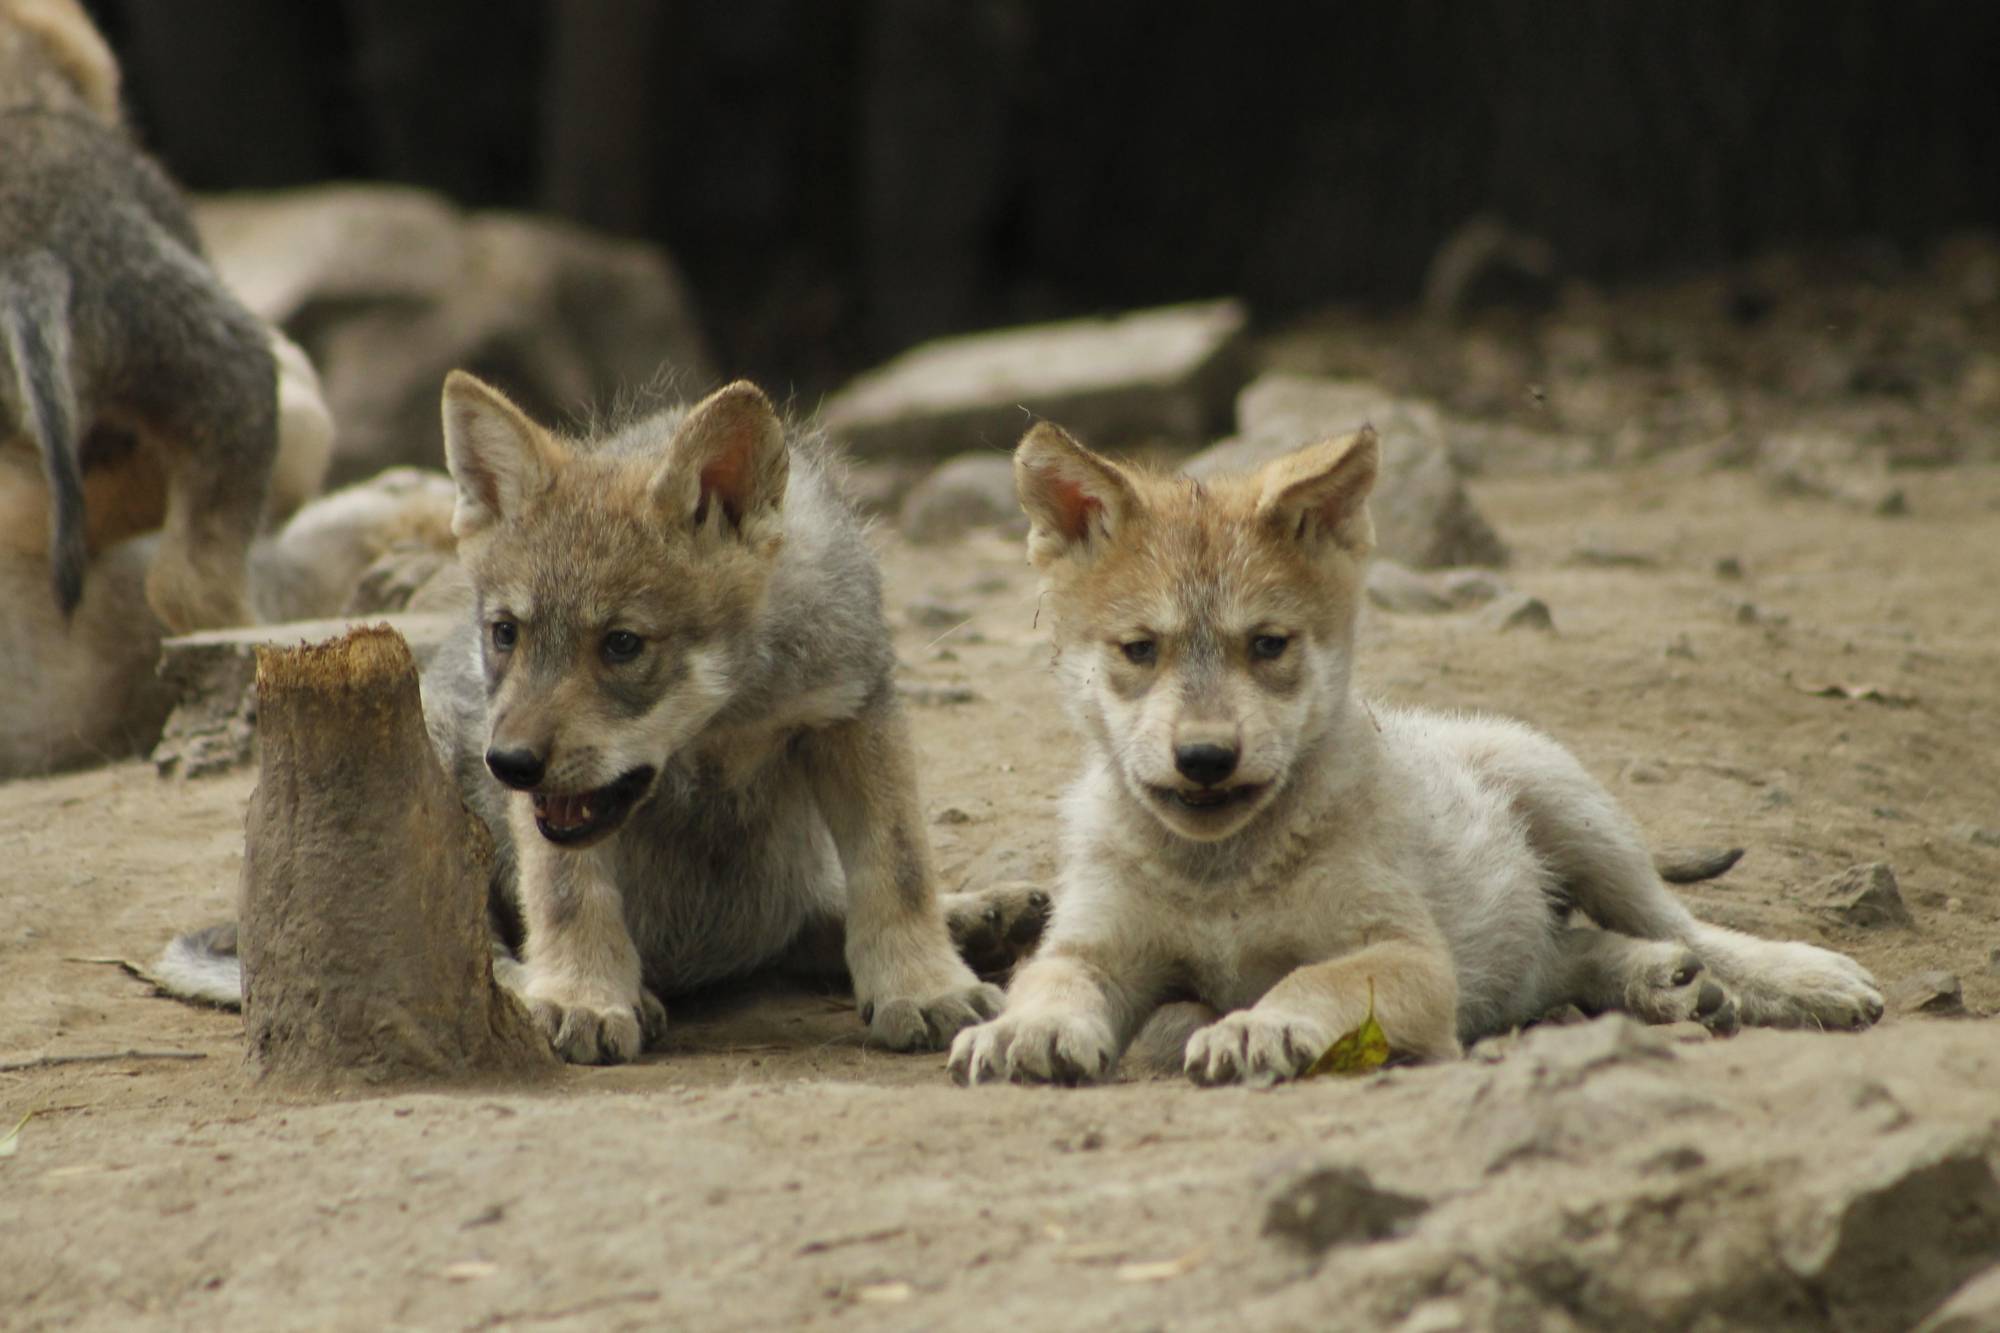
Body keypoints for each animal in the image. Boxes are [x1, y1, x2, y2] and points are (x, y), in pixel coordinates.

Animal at [949, 422, 1884, 1087]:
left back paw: (1799, 978)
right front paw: (1022, 1028)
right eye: (1140, 649)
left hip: (1570, 809)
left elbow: (1313, 983)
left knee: (1677, 923)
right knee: (1565, 954)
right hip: (1516, 939)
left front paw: (1258, 1024)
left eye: (1269, 644)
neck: (1222, 875)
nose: (1207, 757)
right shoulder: (1092, 947)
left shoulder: (1407, 954)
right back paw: (1663, 981)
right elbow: (1052, 982)